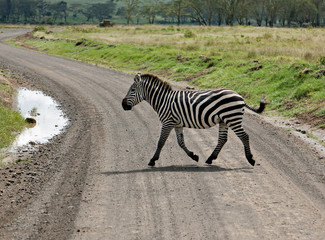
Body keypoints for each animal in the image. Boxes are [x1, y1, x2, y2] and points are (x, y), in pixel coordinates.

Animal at [121, 73, 266, 167]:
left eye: (132, 89)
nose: (123, 105)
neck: (163, 100)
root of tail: (240, 96)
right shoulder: (177, 124)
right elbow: (181, 143)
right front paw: (194, 156)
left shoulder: (167, 122)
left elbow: (160, 142)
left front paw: (152, 160)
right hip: (224, 121)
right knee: (223, 139)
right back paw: (210, 159)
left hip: (232, 118)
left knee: (244, 136)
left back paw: (251, 160)